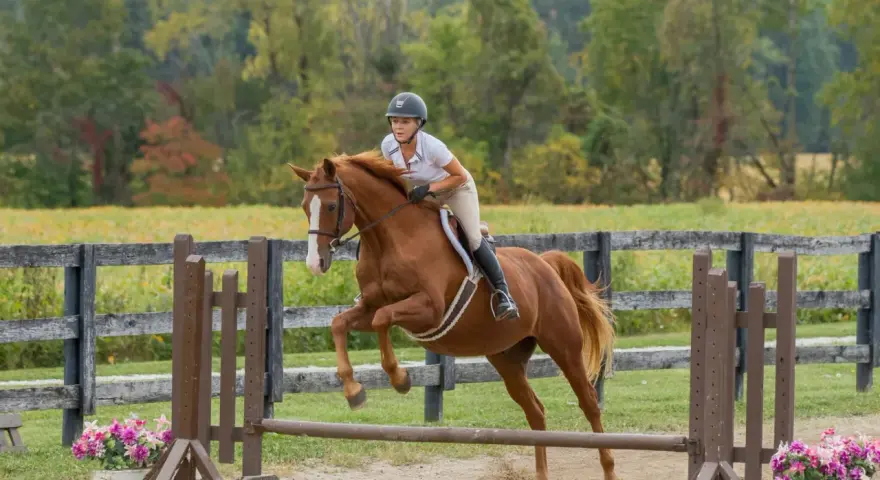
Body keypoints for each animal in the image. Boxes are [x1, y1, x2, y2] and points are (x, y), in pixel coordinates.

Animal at [288, 151, 618, 480]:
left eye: (331, 206)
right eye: (305, 207)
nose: (315, 263)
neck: (390, 241)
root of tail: (545, 264)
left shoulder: (428, 309)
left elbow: (383, 318)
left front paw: (400, 378)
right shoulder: (368, 308)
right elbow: (340, 323)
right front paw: (354, 391)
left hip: (564, 346)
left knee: (589, 403)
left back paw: (609, 467)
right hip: (507, 358)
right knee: (535, 411)